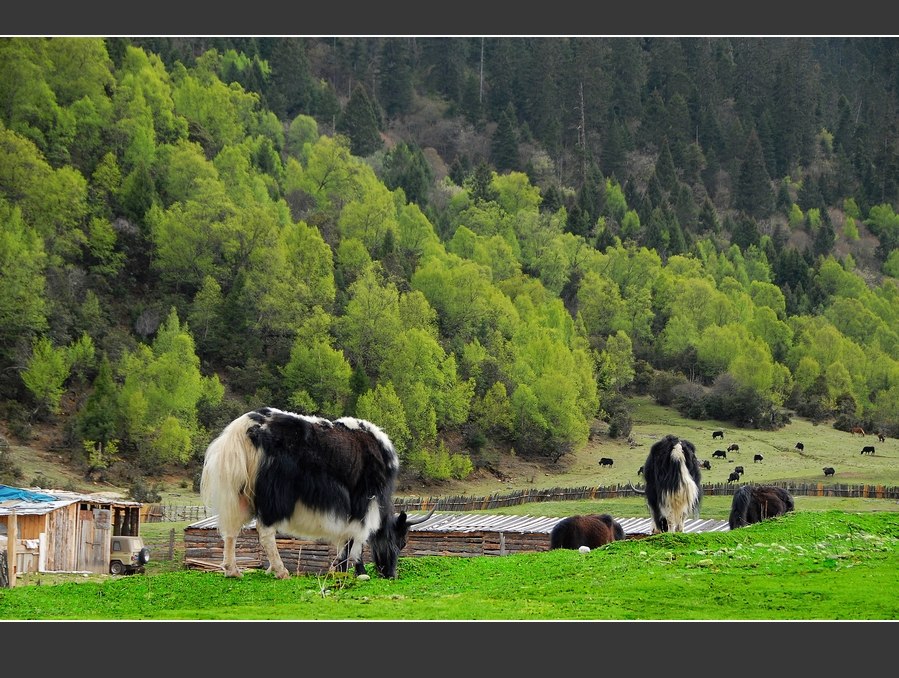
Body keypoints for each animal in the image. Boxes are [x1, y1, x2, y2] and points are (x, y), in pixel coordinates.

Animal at [200, 406, 436, 580]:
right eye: (400, 541)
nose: (390, 575)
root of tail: (245, 427)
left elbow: (345, 539)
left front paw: (339, 570)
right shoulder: (363, 502)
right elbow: (356, 539)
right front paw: (359, 572)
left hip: (240, 493)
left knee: (231, 530)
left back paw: (233, 571)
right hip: (274, 495)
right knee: (265, 531)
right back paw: (281, 571)